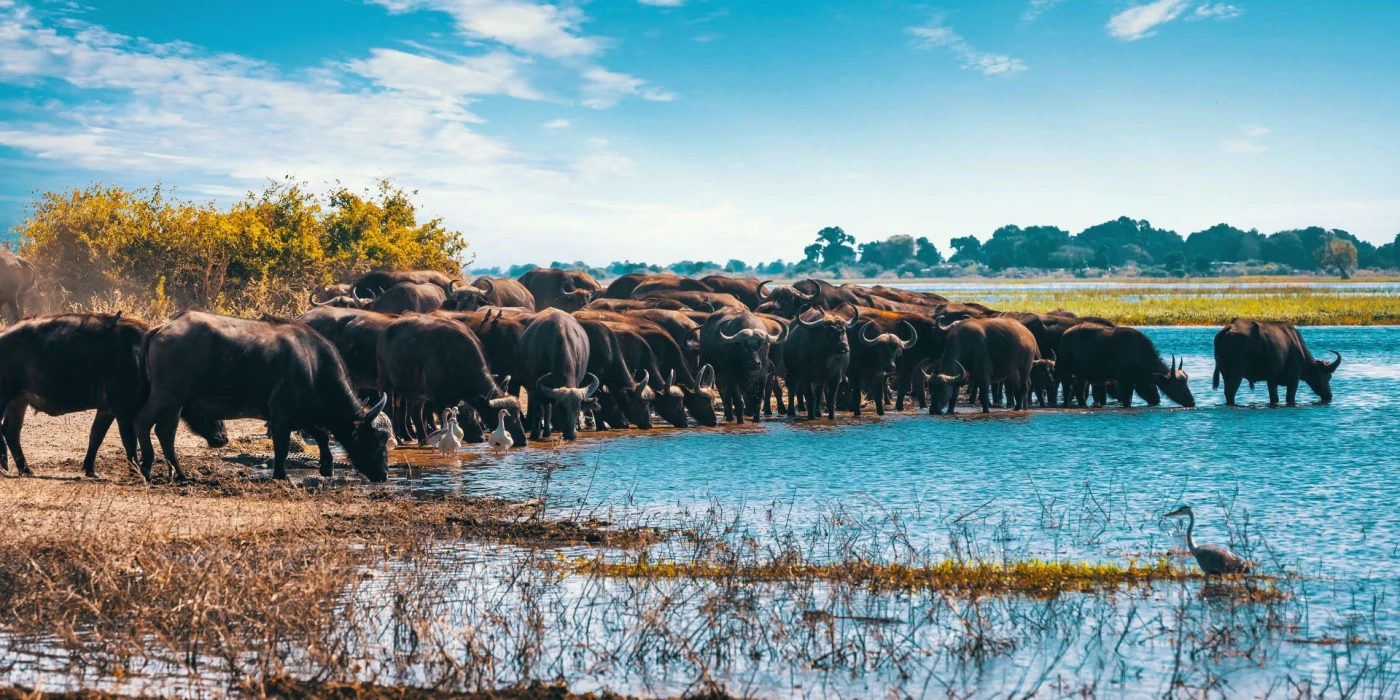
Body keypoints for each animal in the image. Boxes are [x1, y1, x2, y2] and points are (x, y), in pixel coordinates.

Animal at [136, 310, 392, 481]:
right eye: (377, 439)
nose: (384, 474)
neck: (314, 365)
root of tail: (161, 328)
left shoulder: (303, 415)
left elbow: (321, 436)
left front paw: (326, 467)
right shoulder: (282, 416)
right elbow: (282, 446)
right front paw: (281, 476)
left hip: (176, 403)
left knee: (165, 433)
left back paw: (180, 474)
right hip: (167, 396)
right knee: (143, 422)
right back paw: (146, 467)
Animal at [372, 315, 526, 445]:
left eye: (518, 416)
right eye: (508, 418)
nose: (523, 440)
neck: (455, 358)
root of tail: (384, 333)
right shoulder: (438, 399)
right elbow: (444, 420)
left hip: (415, 391)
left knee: (415, 411)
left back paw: (422, 438)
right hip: (386, 383)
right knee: (390, 409)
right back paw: (398, 439)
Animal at [518, 306, 599, 436]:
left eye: (577, 410)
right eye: (561, 409)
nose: (571, 434)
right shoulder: (535, 385)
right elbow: (540, 409)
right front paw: (535, 433)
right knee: (545, 407)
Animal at [1209, 317, 1338, 406]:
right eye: (1327, 376)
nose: (1329, 395)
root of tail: (1228, 329)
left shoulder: (1271, 380)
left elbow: (1274, 398)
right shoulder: (1294, 379)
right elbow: (1290, 398)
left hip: (1225, 371)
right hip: (1237, 371)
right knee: (1230, 391)